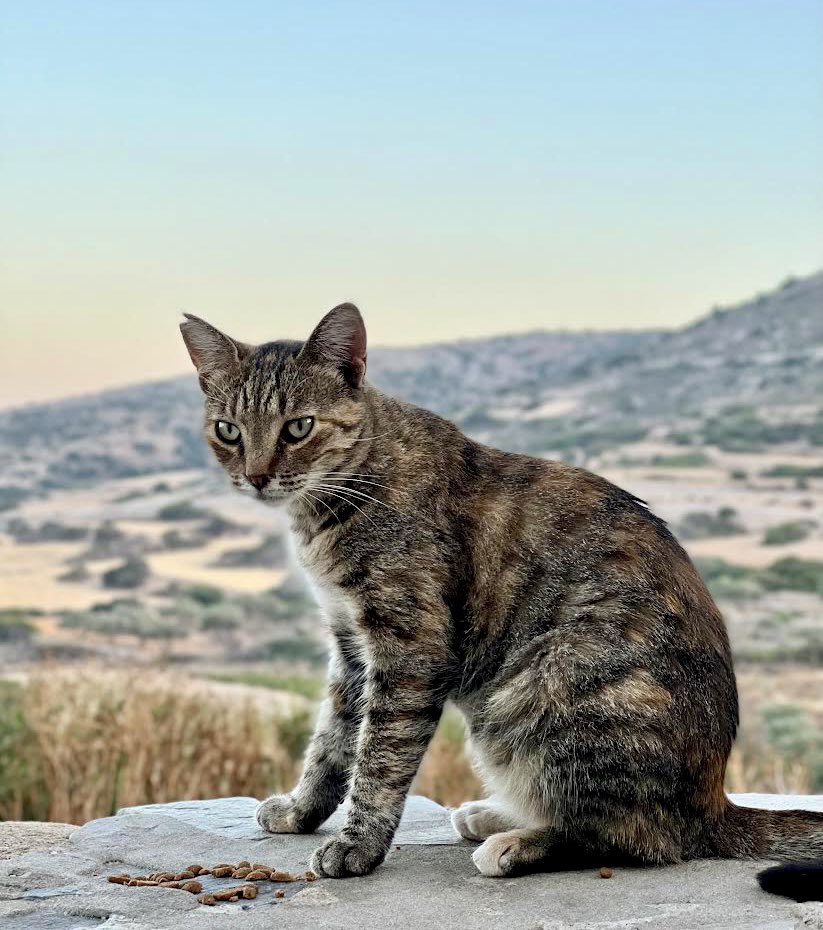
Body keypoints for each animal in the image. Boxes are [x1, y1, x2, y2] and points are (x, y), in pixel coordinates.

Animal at [180, 300, 823, 888]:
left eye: (298, 427)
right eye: (228, 430)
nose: (256, 477)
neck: (352, 484)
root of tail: (714, 804)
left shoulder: (408, 649)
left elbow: (378, 758)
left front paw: (358, 845)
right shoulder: (351, 645)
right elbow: (332, 742)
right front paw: (302, 810)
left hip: (547, 688)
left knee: (640, 837)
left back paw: (517, 843)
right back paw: (499, 816)